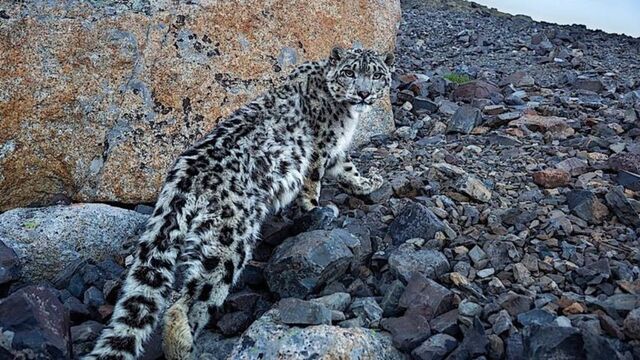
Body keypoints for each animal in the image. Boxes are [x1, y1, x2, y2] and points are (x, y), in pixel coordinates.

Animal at [85, 47, 396, 360]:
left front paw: (369, 182)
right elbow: (312, 185)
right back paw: (185, 348)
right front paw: (318, 210)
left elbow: (348, 170)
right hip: (228, 242)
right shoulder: (319, 150)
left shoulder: (336, 153)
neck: (346, 115)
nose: (364, 93)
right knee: (190, 300)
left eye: (376, 75)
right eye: (349, 72)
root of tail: (184, 175)